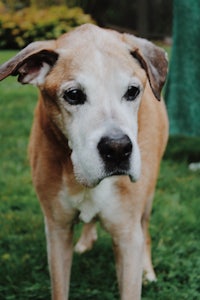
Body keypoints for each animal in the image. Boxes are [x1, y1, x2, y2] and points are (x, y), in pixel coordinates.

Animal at [0, 24, 169, 300]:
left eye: (132, 91)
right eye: (74, 95)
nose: (118, 149)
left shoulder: (127, 236)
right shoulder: (56, 231)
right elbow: (59, 287)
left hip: (148, 196)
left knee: (145, 230)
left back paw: (148, 270)